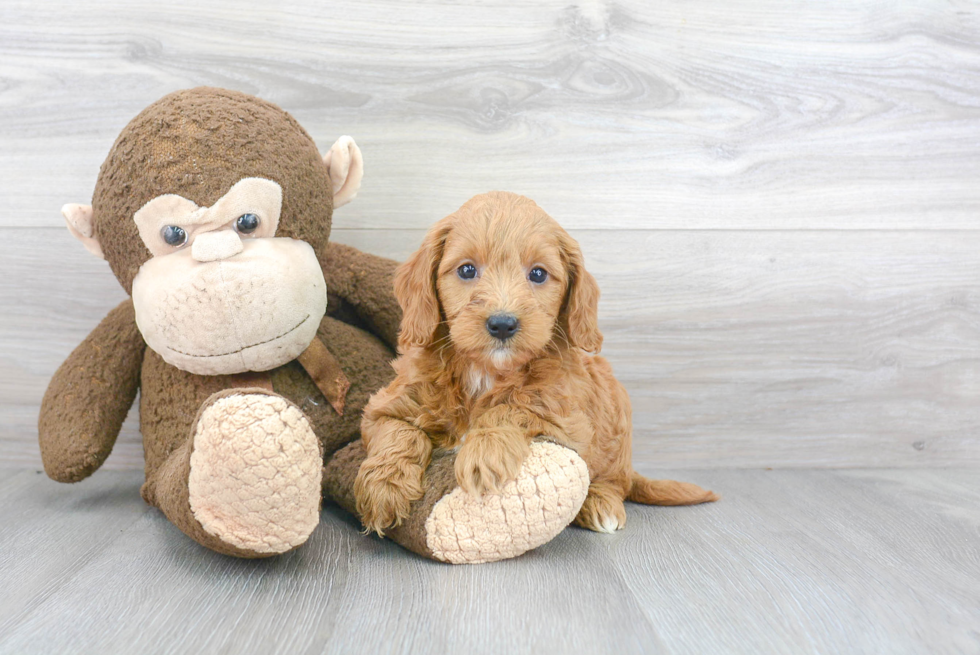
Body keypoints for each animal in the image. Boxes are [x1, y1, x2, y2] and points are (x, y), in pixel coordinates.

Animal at [356, 191, 716, 540]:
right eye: (467, 270)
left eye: (538, 274)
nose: (502, 324)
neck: (485, 372)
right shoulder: (386, 406)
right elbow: (399, 432)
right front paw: (383, 487)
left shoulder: (566, 418)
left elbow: (513, 406)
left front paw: (484, 453)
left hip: (617, 415)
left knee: (615, 480)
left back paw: (602, 505)